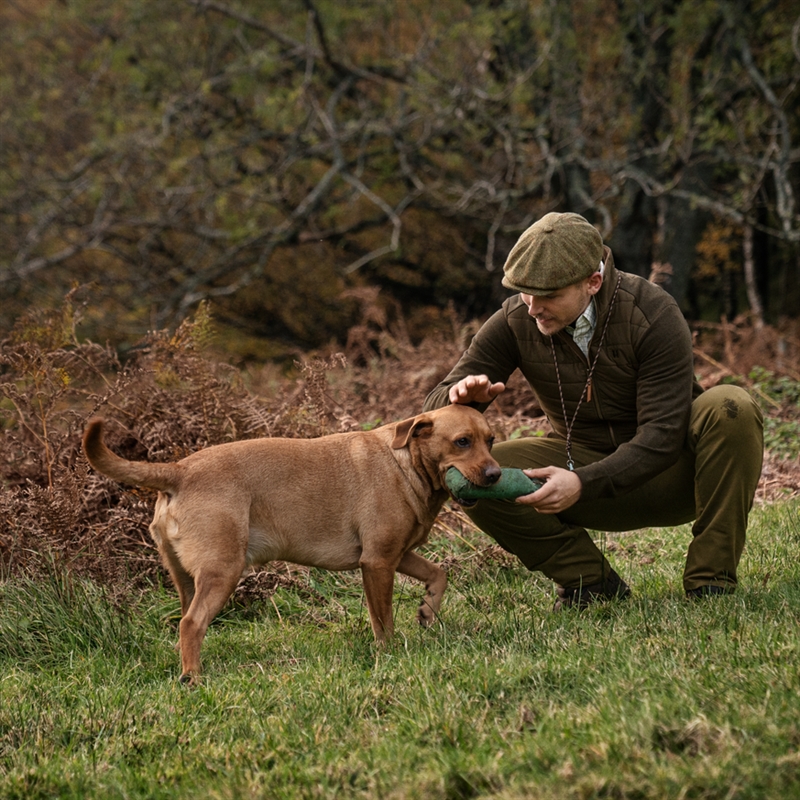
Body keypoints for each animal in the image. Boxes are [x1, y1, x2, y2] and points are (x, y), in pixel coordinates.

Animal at [84, 406, 504, 680]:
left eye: (491, 440)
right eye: (462, 442)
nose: (496, 475)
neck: (407, 464)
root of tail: (179, 470)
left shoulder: (397, 555)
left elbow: (439, 574)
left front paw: (427, 611)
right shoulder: (378, 562)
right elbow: (382, 621)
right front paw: (388, 653)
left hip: (188, 578)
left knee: (184, 624)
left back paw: (187, 666)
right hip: (223, 572)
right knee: (191, 624)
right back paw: (194, 678)